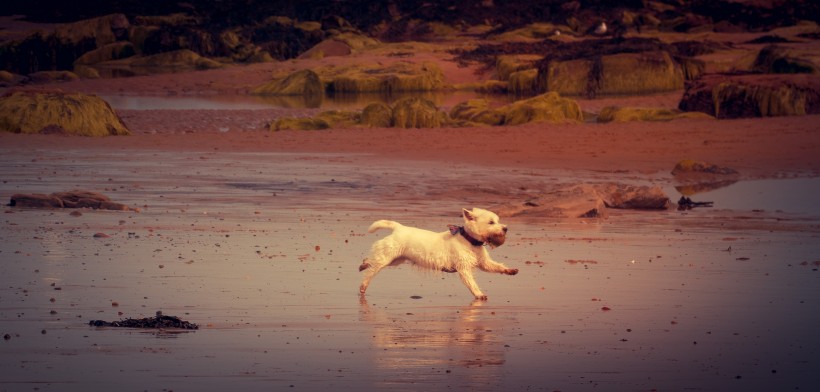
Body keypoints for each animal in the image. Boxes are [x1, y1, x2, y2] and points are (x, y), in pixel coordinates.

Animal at [358, 208, 520, 300]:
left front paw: (510, 270)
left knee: (370, 261)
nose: (506, 228)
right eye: (491, 222)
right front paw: (479, 294)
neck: (470, 241)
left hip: (395, 260)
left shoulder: (484, 263)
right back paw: (363, 285)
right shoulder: (464, 269)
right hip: (387, 258)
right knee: (371, 271)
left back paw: (363, 264)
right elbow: (472, 283)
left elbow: (497, 267)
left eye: (498, 221)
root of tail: (399, 228)